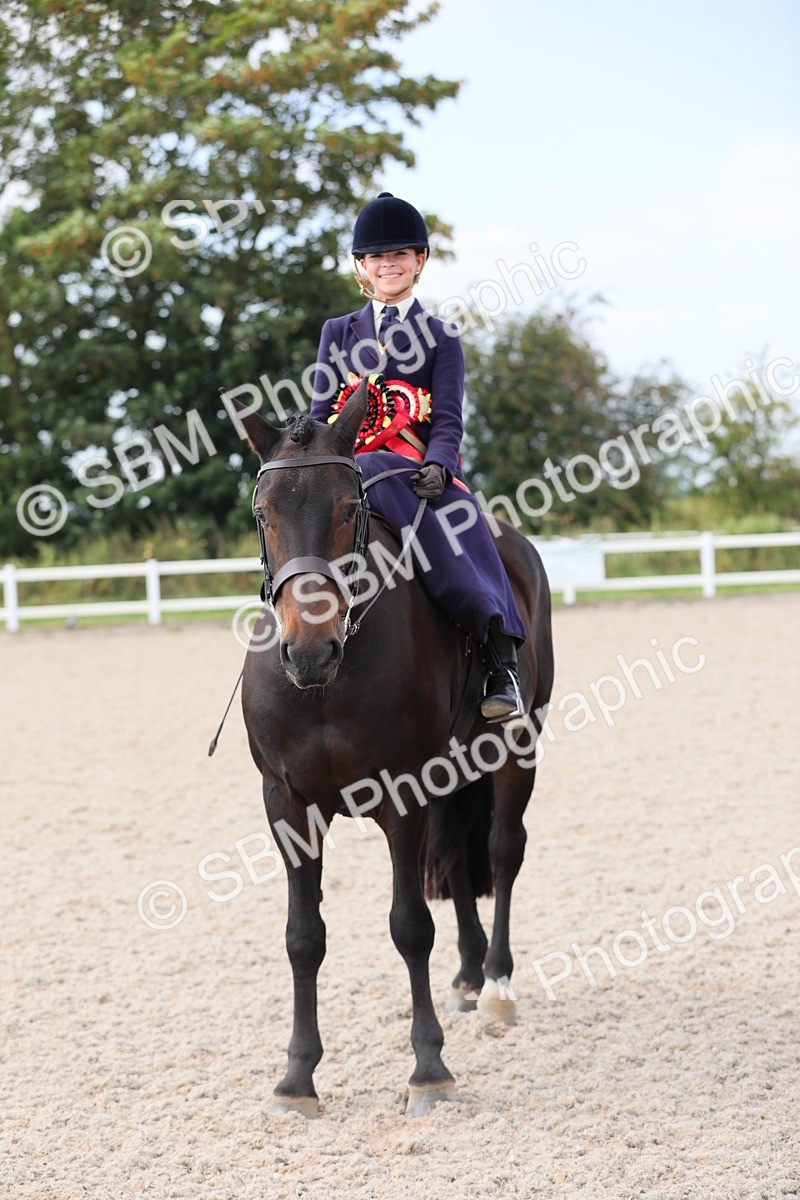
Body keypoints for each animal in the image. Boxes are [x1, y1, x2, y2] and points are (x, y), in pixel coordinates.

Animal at [235, 379, 554, 1117]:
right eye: (264, 514)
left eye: (349, 508)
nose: (309, 652)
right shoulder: (286, 805)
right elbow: (303, 937)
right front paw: (297, 1078)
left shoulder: (400, 795)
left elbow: (410, 925)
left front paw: (428, 1068)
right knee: (460, 861)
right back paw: (467, 977)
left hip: (515, 749)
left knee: (501, 850)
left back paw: (496, 987)